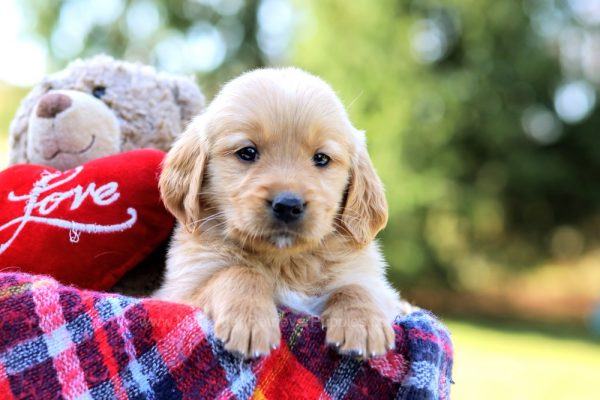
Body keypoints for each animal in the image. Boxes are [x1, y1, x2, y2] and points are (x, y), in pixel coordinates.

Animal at [152, 68, 410, 360]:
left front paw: (363, 323)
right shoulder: (179, 291)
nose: (288, 204)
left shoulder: (371, 282)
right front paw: (250, 320)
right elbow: (238, 272)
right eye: (247, 152)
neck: (286, 262)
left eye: (321, 158)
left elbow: (356, 287)